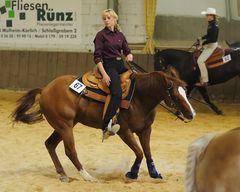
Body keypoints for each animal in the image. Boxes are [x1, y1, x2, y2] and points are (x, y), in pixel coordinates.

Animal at [11, 70, 195, 182]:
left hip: (63, 126)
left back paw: (63, 174)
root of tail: (45, 89)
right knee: (70, 150)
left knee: (49, 144)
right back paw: (87, 176)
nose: (192, 114)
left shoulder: (145, 130)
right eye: (175, 95)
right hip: (64, 126)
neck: (139, 97)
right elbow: (139, 152)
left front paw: (154, 173)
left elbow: (148, 152)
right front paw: (132, 173)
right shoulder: (125, 131)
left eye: (186, 92)